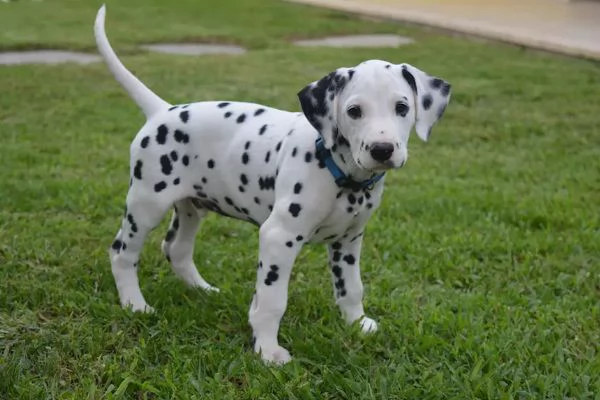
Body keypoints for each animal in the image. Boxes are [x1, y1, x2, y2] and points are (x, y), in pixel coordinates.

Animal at [94, 3, 450, 366]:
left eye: (402, 107)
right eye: (354, 111)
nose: (382, 149)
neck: (339, 172)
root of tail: (162, 111)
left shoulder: (349, 240)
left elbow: (351, 287)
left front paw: (357, 324)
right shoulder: (279, 238)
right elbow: (271, 300)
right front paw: (267, 350)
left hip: (192, 207)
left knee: (176, 249)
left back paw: (202, 290)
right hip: (146, 204)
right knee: (122, 253)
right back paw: (135, 304)